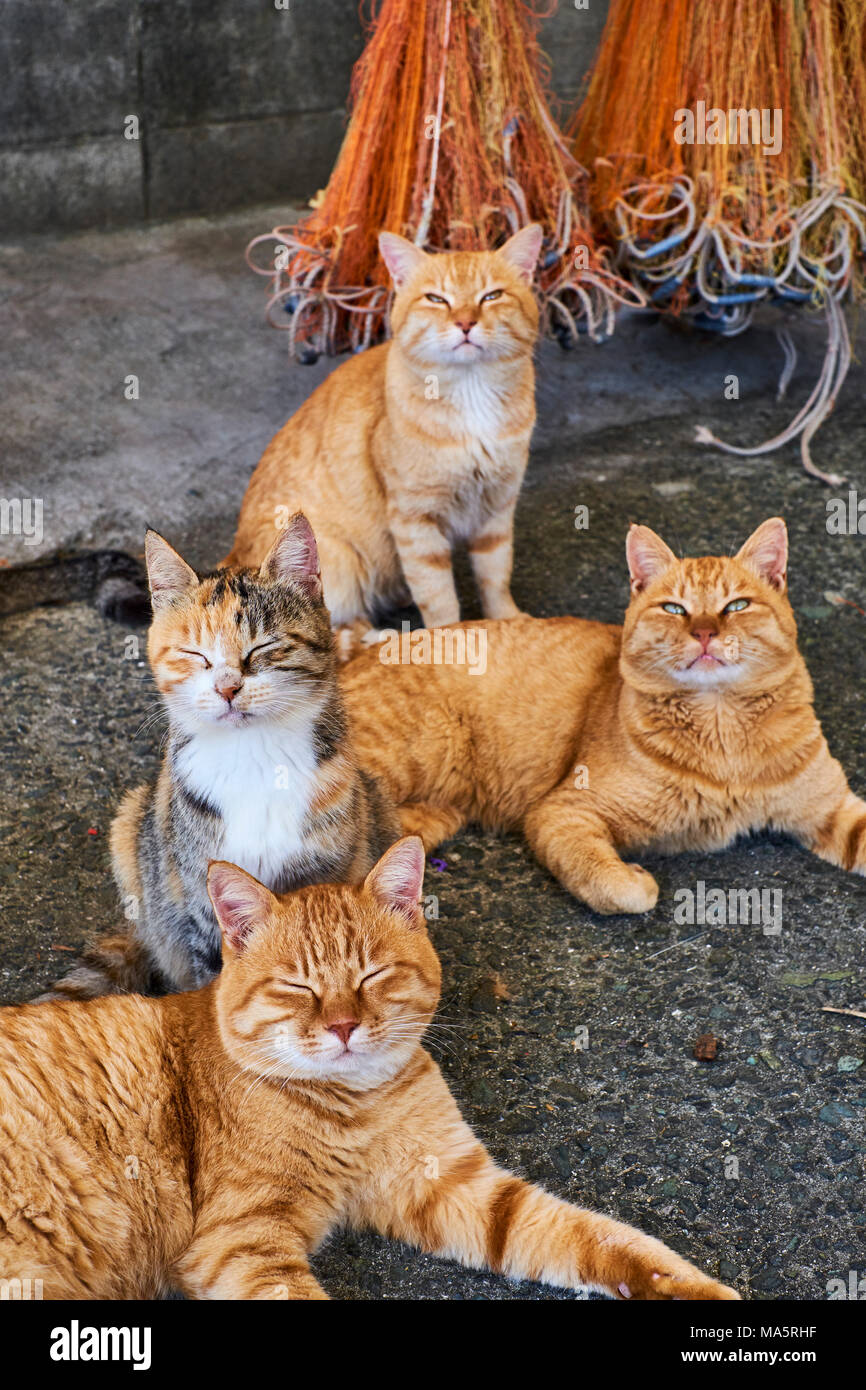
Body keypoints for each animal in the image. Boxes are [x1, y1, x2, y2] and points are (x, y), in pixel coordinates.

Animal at [0, 834, 739, 1301]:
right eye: (297, 987)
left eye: (373, 976)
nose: (343, 1026)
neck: (353, 1102)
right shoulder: (240, 1239)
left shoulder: (458, 1186)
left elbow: (598, 1238)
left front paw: (689, 1288)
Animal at [44, 511, 400, 1000]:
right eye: (196, 654)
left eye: (264, 647)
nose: (227, 688)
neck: (254, 758)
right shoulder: (203, 900)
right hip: (132, 825)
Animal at [340, 519, 866, 911]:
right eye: (674, 609)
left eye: (736, 605)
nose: (704, 633)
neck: (724, 730)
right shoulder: (562, 812)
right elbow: (618, 889)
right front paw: (638, 880)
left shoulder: (833, 809)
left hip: (425, 819)